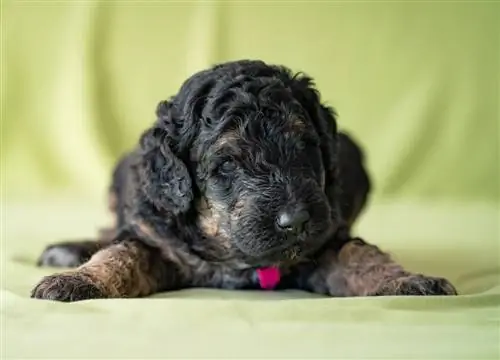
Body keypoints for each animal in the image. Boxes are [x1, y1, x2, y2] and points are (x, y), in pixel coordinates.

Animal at [30, 59, 458, 300]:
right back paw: (68, 251)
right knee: (110, 232)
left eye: (305, 147)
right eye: (228, 165)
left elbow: (362, 257)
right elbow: (119, 253)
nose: (296, 221)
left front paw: (411, 280)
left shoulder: (326, 240)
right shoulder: (158, 238)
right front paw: (74, 281)